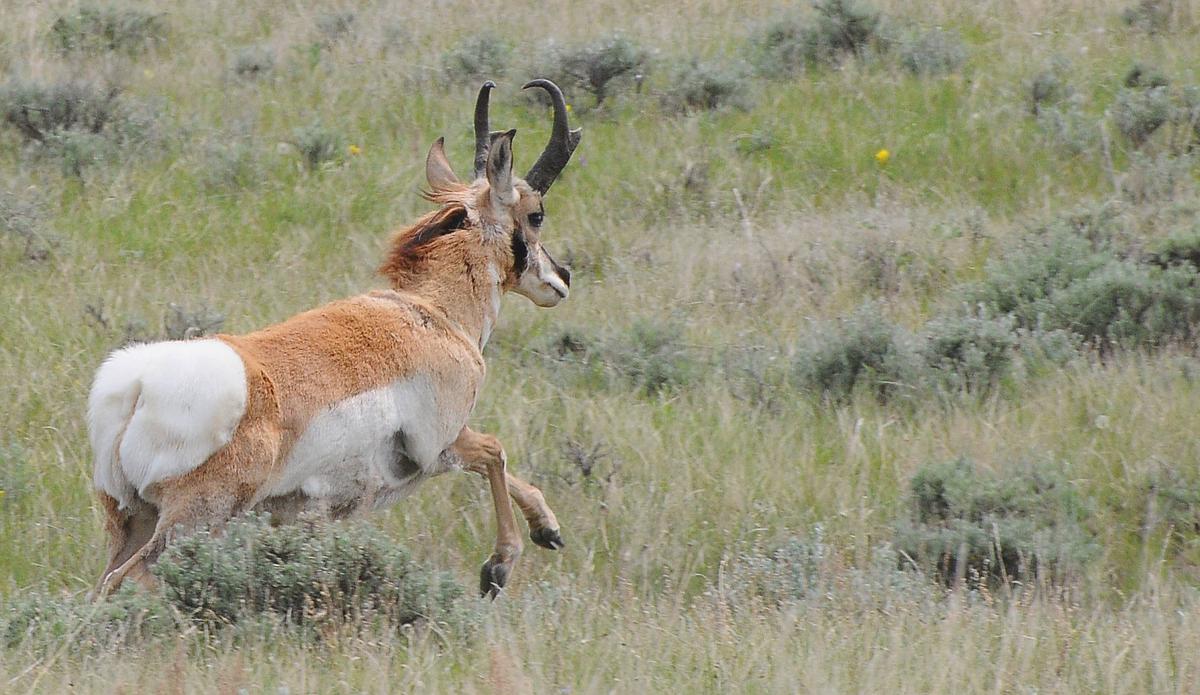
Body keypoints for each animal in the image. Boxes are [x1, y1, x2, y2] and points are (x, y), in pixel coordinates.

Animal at [88, 79, 581, 599]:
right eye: (536, 215)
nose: (563, 277)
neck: (431, 313)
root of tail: (135, 385)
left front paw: (548, 528)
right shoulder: (440, 445)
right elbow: (495, 451)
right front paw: (498, 566)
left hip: (134, 521)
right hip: (193, 520)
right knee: (125, 580)